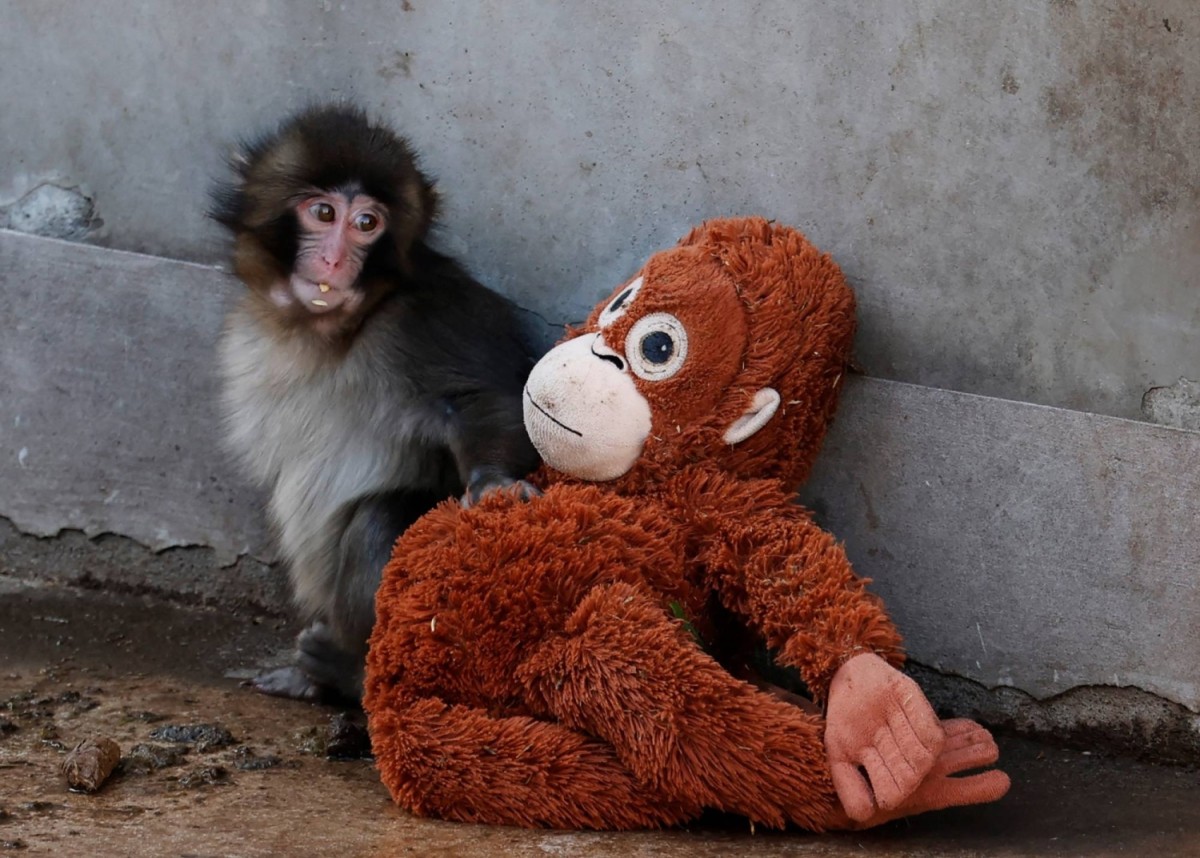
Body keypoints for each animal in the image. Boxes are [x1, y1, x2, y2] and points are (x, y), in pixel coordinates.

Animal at [210, 105, 540, 704]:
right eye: (323, 213)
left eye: (368, 223)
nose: (335, 258)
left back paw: (348, 674)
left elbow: (485, 399)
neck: (330, 330)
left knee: (378, 521)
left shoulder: (426, 317)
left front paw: (494, 483)